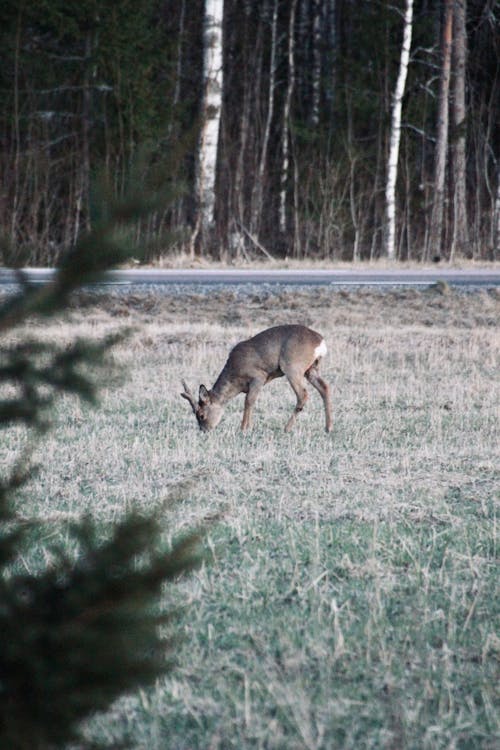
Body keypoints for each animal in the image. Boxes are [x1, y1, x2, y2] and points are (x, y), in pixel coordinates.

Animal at [180, 324, 332, 434]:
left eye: (201, 415)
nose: (204, 430)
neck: (235, 375)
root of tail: (320, 341)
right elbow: (250, 401)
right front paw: (249, 427)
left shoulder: (259, 376)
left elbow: (249, 401)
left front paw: (243, 428)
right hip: (311, 369)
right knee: (325, 388)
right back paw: (328, 428)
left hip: (293, 368)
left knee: (303, 395)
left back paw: (286, 428)